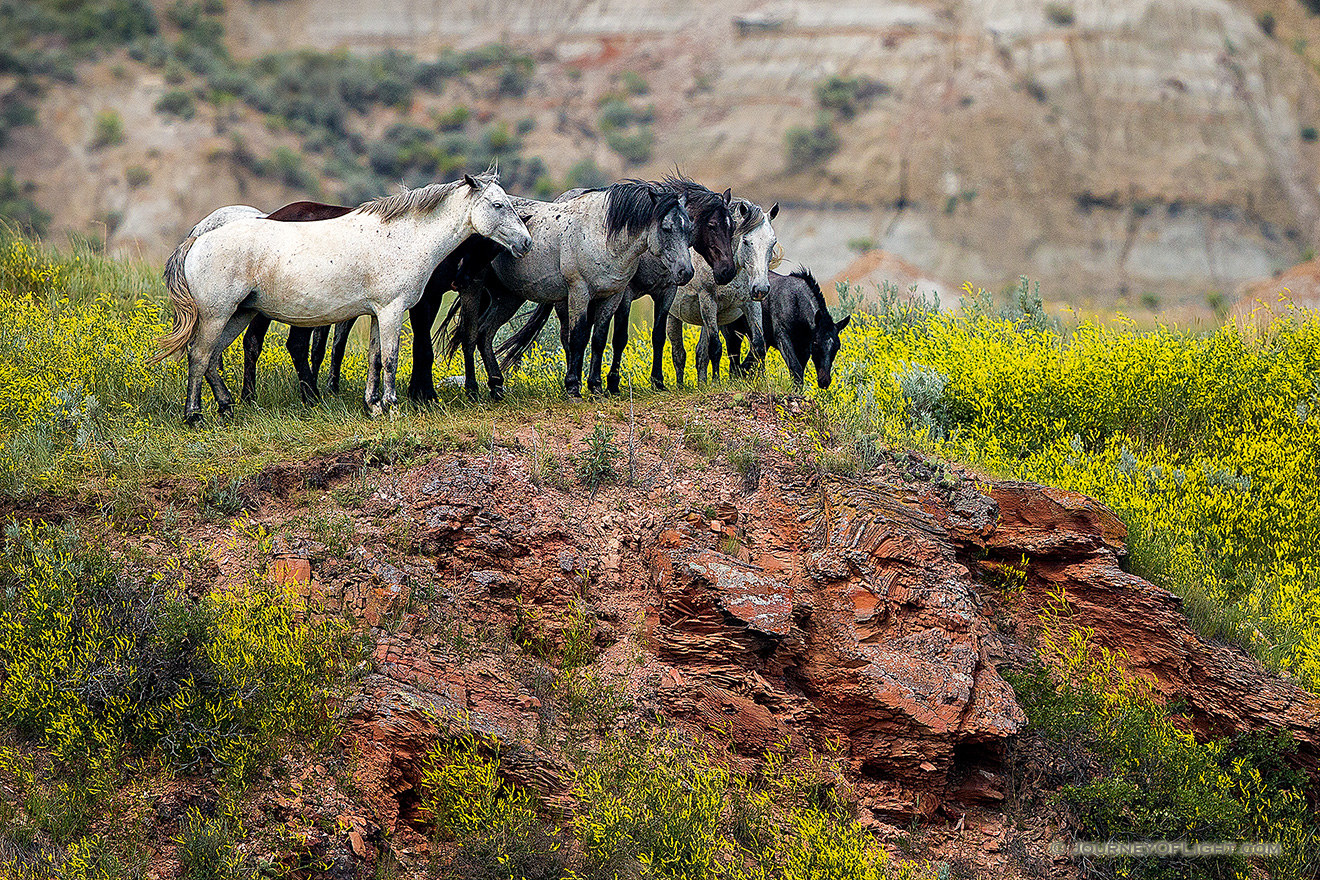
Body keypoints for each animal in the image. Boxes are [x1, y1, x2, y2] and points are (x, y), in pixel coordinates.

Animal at [161, 174, 535, 424]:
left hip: (238, 315)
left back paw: (226, 406)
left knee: (212, 358)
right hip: (217, 315)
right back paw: (195, 415)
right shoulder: (392, 310)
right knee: (199, 356)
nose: (526, 243)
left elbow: (374, 358)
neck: (403, 237)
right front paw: (392, 406)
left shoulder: (376, 313)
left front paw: (374, 405)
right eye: (498, 205)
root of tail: (197, 240)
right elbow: (391, 359)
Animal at [665, 199, 776, 385]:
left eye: (773, 242)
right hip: (673, 315)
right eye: (746, 241)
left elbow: (759, 345)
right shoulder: (708, 301)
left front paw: (761, 381)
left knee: (700, 354)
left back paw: (701, 384)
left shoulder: (751, 303)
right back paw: (680, 385)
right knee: (678, 353)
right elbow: (716, 348)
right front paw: (716, 382)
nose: (761, 288)